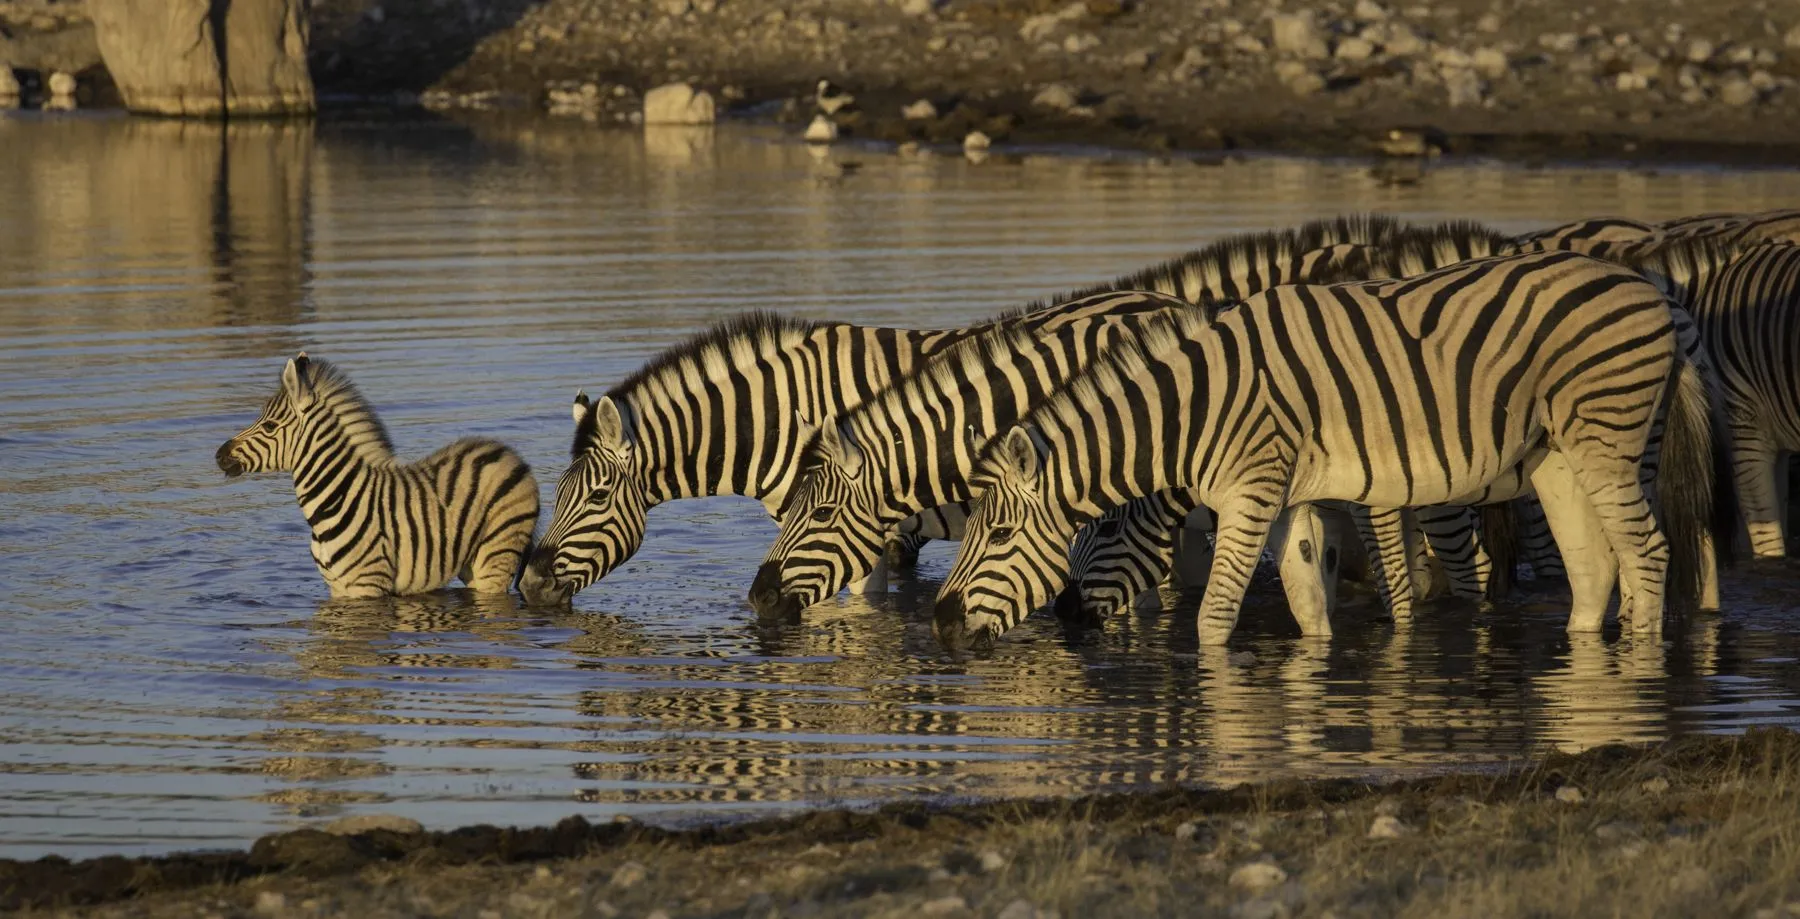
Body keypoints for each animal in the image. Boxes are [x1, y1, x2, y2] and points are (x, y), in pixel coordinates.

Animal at [214, 353, 539, 598]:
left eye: (269, 426)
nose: (218, 454)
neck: (337, 497)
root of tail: (508, 451)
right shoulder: (339, 588)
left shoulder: (367, 585)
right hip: (470, 563)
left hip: (495, 556)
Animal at [932, 250, 1718, 652]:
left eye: (998, 535)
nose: (939, 620)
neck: (1197, 409)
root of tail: (1650, 289)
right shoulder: (1292, 500)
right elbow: (1309, 603)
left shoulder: (1249, 494)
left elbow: (1214, 616)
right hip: (1558, 456)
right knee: (1595, 566)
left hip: (1610, 439)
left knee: (1648, 552)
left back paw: (1640, 667)